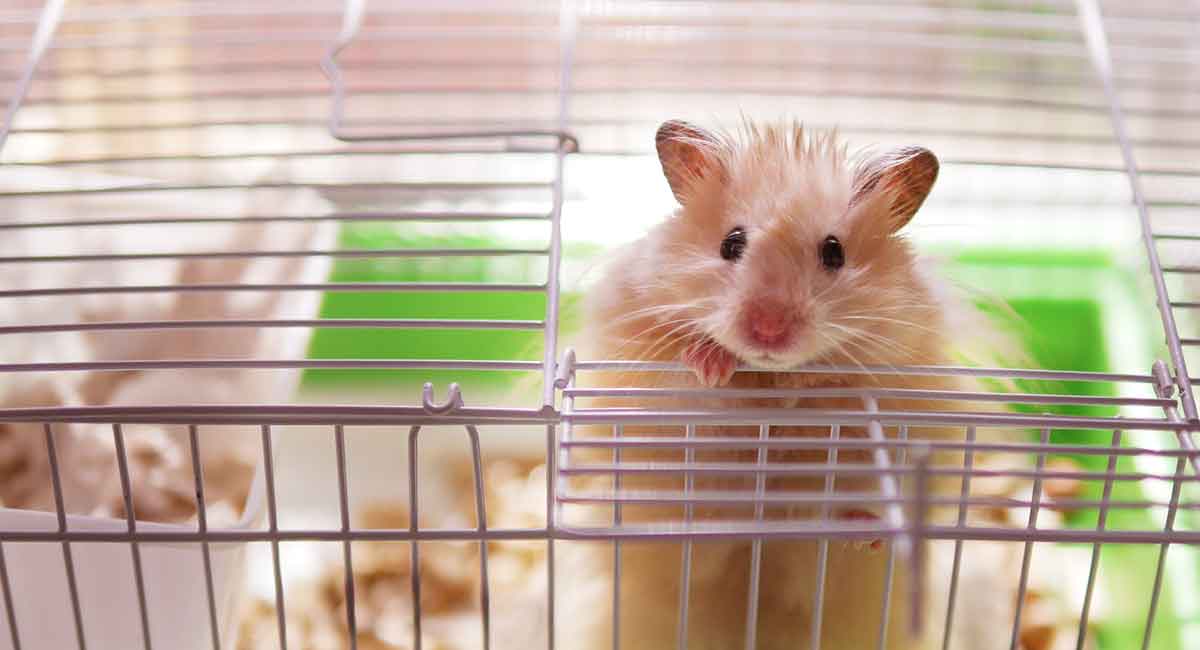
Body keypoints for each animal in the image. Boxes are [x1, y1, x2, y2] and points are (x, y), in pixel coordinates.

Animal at [566, 121, 1027, 650]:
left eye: (834, 252)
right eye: (731, 243)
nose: (768, 330)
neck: (766, 378)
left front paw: (806, 383)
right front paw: (712, 363)